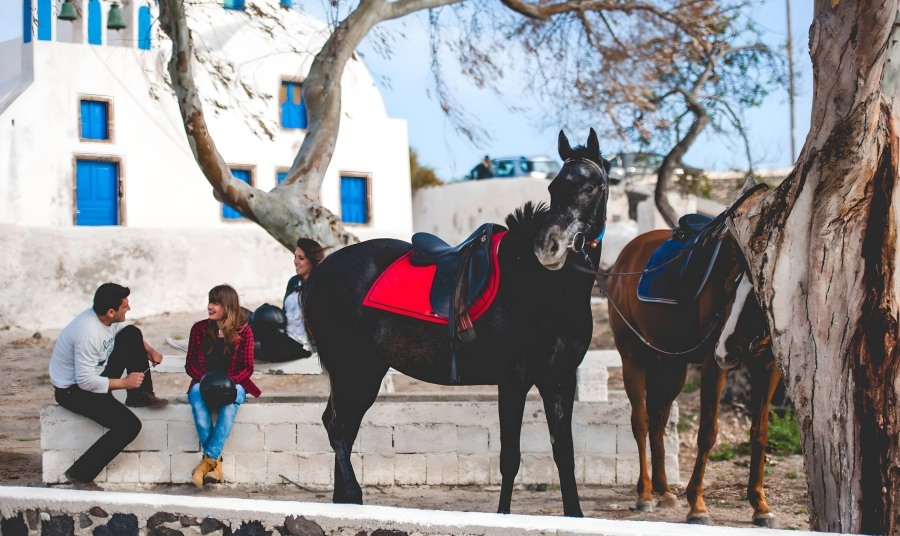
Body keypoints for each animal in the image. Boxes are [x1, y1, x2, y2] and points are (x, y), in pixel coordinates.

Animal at [304, 129, 610, 517]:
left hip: (363, 373)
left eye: (591, 187)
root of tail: (320, 271)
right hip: (353, 371)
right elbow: (510, 458)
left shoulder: (560, 381)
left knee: (343, 426)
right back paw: (354, 497)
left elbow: (564, 455)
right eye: (554, 188)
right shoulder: (514, 381)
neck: (543, 288)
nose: (548, 247)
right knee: (336, 428)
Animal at [605, 224, 781, 527]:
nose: (725, 348)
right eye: (730, 290)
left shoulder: (768, 369)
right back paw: (646, 494)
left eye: (759, 298)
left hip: (672, 366)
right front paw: (697, 506)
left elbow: (759, 433)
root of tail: (624, 258)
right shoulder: (713, 366)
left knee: (658, 418)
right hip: (633, 357)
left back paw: (664, 491)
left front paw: (760, 505)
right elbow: (708, 432)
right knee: (640, 421)